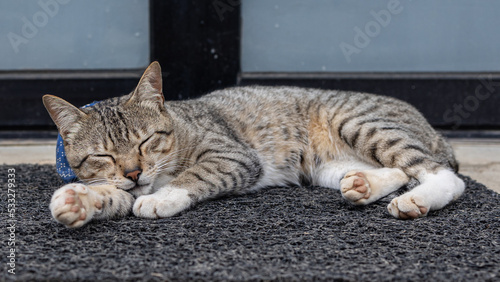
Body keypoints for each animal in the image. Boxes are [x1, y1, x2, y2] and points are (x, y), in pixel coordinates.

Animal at [42, 60, 464, 228]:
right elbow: (112, 195)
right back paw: (364, 185)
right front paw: (78, 200)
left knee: (443, 175)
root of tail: (430, 127)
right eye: (102, 155)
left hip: (358, 122)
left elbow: (194, 175)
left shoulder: (233, 156)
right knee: (397, 169)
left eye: (146, 141)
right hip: (326, 167)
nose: (133, 172)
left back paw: (416, 200)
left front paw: (162, 197)